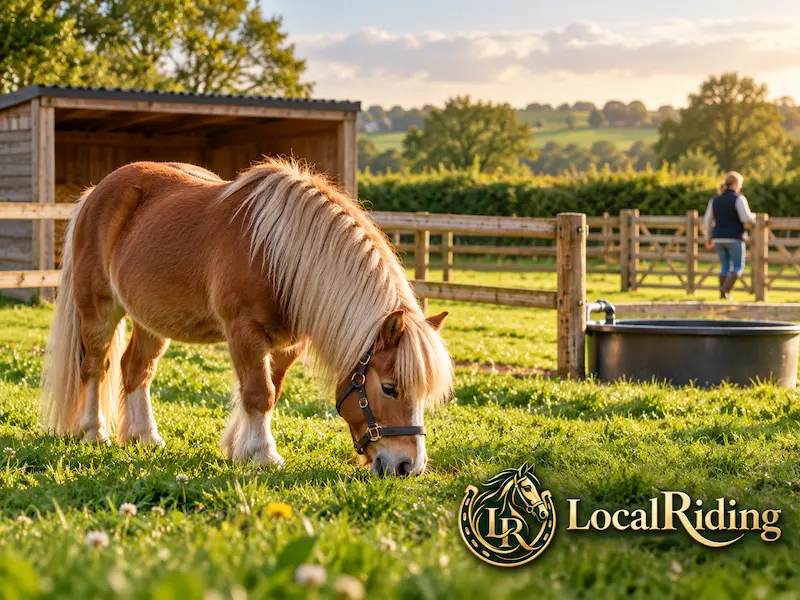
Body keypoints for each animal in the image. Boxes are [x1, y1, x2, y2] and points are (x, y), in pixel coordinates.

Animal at [39, 158, 454, 477]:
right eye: (389, 388)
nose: (408, 466)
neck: (278, 254)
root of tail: (95, 193)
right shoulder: (244, 333)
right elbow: (258, 394)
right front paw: (263, 455)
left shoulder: (288, 344)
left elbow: (271, 391)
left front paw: (242, 449)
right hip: (98, 309)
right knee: (97, 366)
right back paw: (94, 431)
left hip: (150, 321)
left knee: (135, 370)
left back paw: (146, 436)